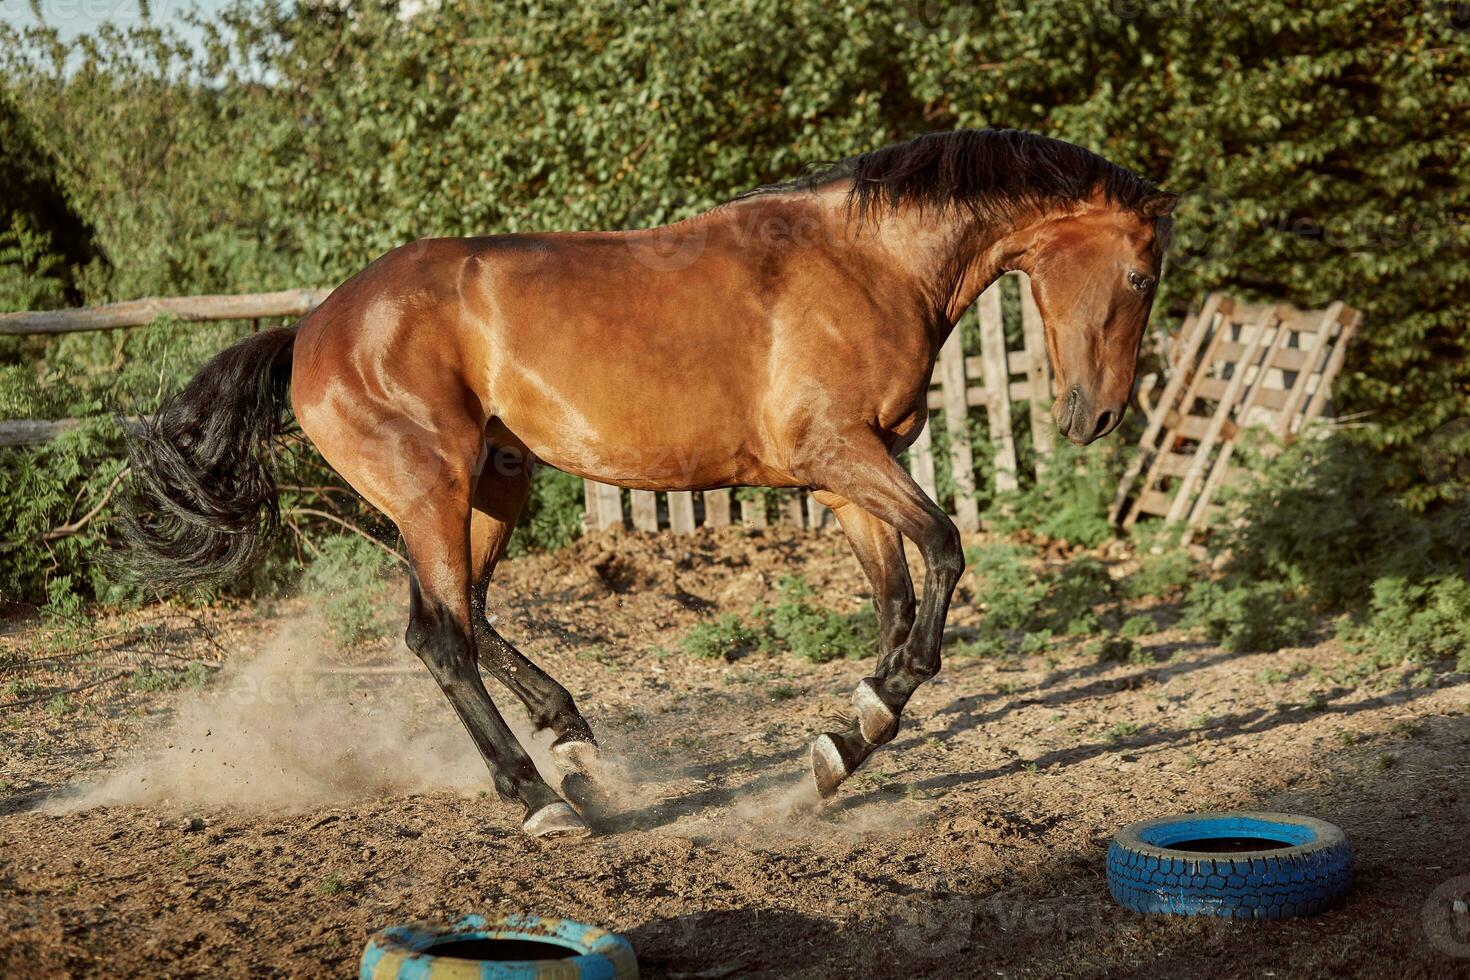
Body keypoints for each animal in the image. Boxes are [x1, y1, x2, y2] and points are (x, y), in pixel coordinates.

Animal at [123, 128, 1181, 834]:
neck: (864, 264)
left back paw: (574, 744)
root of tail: (312, 330)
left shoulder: (848, 479)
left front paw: (840, 750)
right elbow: (947, 555)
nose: (1097, 418)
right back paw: (542, 800)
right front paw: (864, 723)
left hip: (495, 485)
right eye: (1140, 276)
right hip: (432, 491)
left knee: (466, 616)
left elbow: (894, 602)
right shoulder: (840, 456)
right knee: (440, 638)